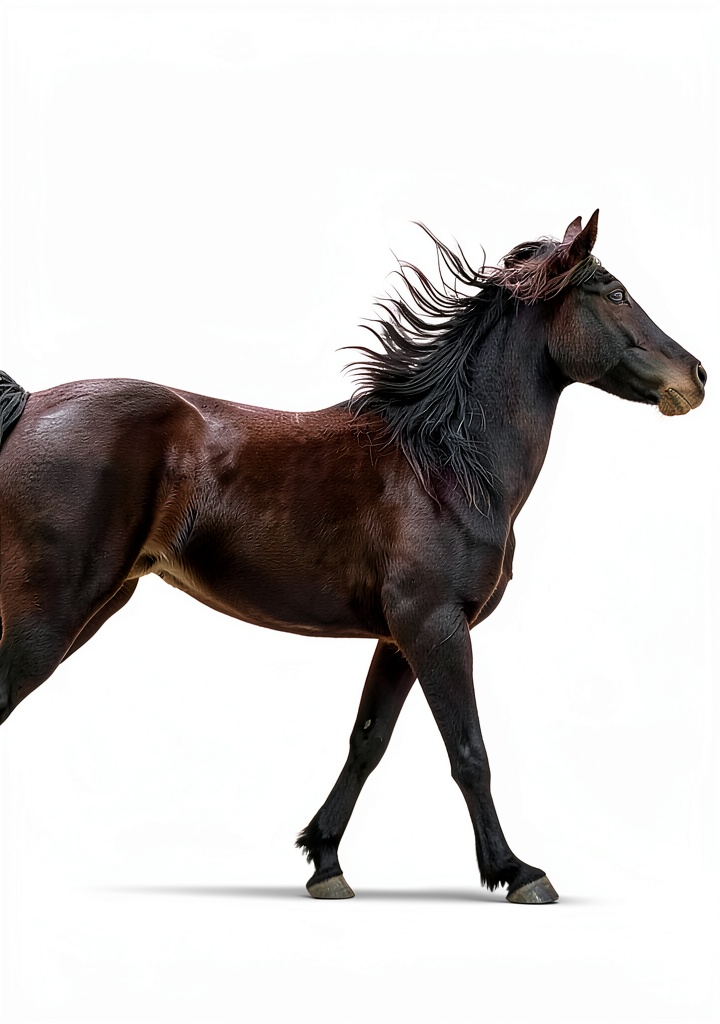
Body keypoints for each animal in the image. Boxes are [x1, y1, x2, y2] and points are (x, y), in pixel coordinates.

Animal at [0, 211, 706, 904]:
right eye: (615, 292)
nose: (696, 376)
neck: (446, 466)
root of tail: (28, 405)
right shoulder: (436, 626)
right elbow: (468, 751)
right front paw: (518, 871)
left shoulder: (399, 638)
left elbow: (368, 741)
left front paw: (325, 862)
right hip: (54, 612)